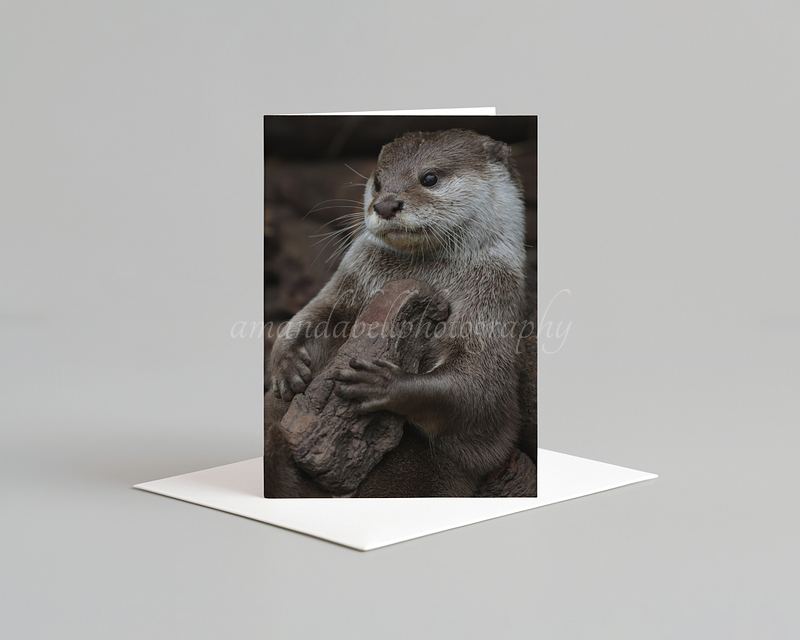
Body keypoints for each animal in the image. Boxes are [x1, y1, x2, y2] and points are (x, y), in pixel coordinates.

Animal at [265, 128, 535, 497]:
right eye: (378, 182)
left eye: (430, 177)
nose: (385, 204)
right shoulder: (351, 280)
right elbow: (318, 314)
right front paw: (287, 362)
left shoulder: (493, 307)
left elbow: (477, 388)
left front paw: (382, 384)